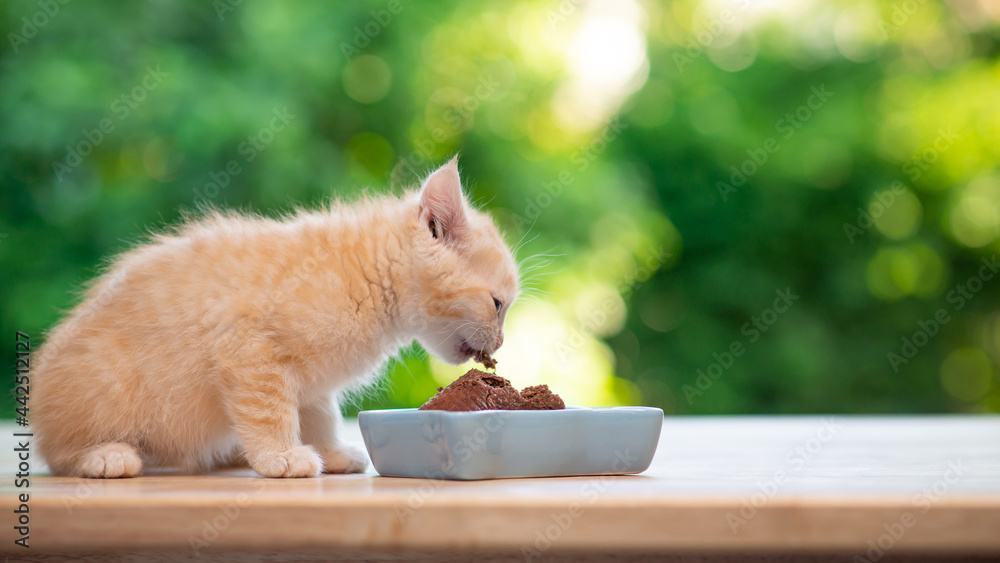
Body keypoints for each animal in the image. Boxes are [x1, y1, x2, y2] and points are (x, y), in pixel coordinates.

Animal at [31, 159, 520, 480]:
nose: (499, 344)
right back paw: (106, 456)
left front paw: (329, 452)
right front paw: (281, 457)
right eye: (498, 305)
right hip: (102, 386)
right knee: (56, 453)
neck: (367, 280)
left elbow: (320, 414)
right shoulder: (248, 350)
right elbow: (268, 411)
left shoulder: (312, 382)